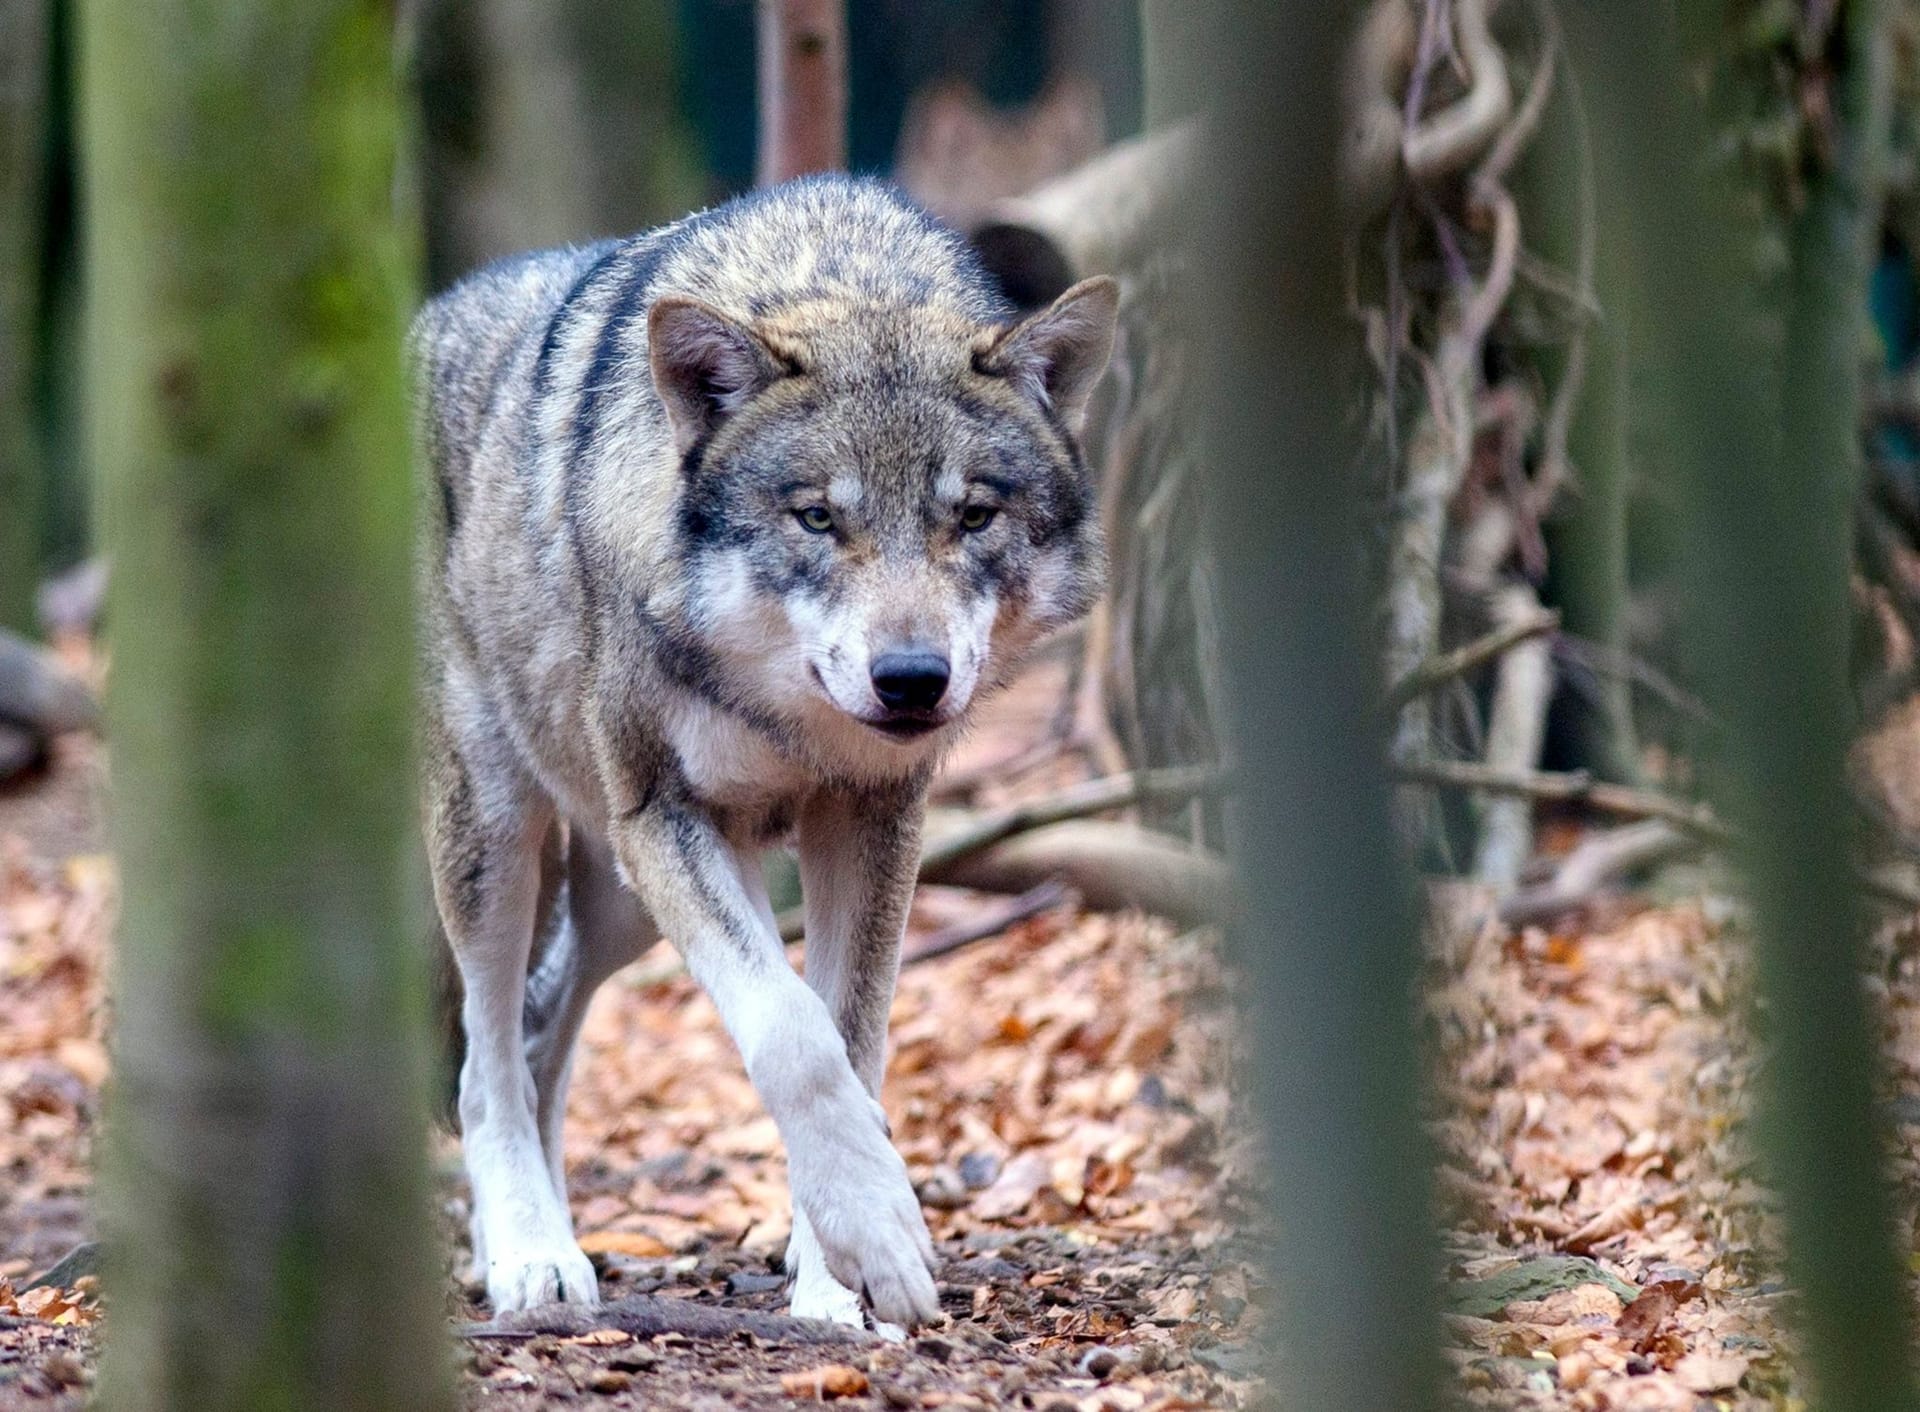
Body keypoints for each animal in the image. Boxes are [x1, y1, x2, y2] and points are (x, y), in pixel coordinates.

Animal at [412, 179, 1121, 1337]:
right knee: (486, 1055)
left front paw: (838, 1279)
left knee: (542, 1032)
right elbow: (792, 1033)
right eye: (819, 517)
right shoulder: (668, 817)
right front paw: (877, 1238)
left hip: (615, 900)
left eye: (972, 515)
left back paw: (541, 1239)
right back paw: (530, 1256)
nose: (912, 678)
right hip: (506, 838)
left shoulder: (874, 820)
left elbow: (849, 1039)